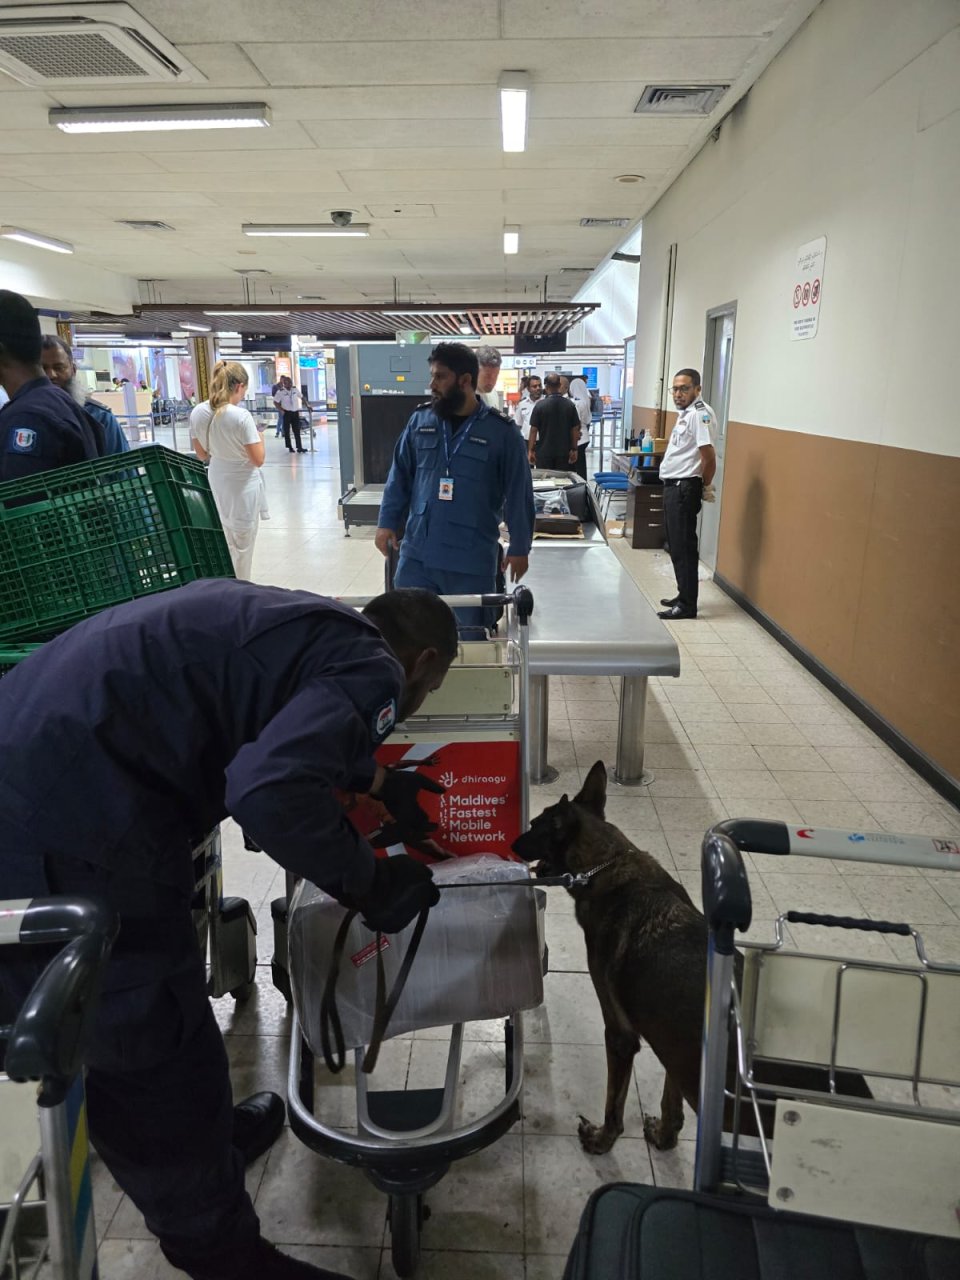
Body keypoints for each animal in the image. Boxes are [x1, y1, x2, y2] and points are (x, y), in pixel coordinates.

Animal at [514, 752, 870, 1157]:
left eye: (534, 826)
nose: (512, 842)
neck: (606, 864)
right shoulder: (677, 1042)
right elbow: (672, 1096)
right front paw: (665, 1135)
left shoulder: (620, 1035)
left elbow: (614, 1106)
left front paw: (603, 1140)